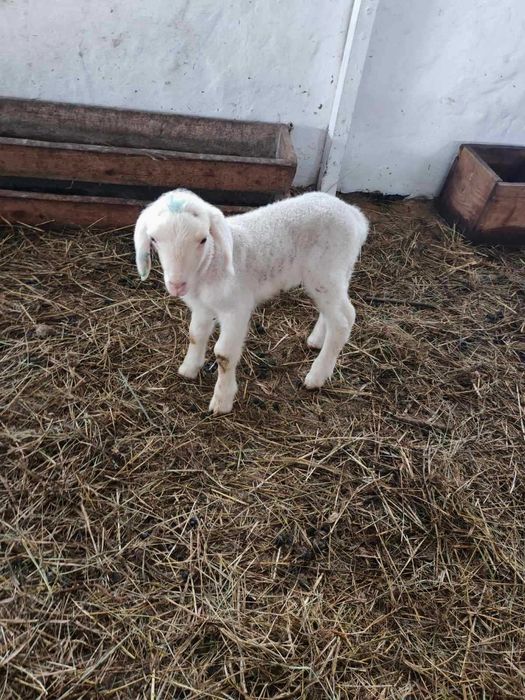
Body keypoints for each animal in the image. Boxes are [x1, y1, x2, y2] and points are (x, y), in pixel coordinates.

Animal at [134, 188, 369, 415]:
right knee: (334, 310)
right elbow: (195, 335)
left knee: (344, 320)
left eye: (203, 239)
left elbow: (224, 355)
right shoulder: (202, 308)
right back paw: (316, 340)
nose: (177, 285)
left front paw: (222, 401)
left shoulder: (236, 309)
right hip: (337, 273)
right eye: (153, 239)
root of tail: (355, 215)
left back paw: (317, 375)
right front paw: (189, 369)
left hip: (326, 270)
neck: (211, 263)